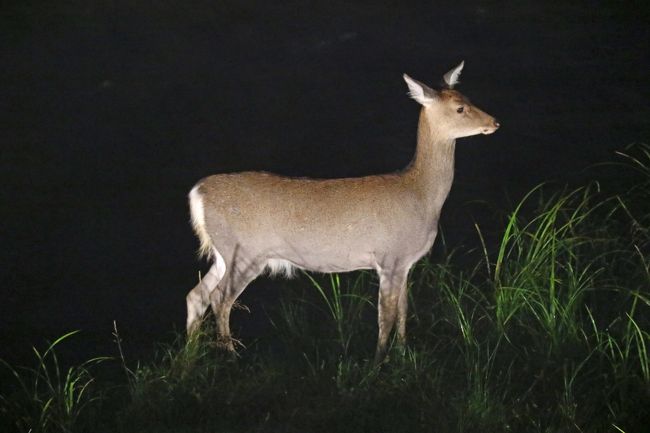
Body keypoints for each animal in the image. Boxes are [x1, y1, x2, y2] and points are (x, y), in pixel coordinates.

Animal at [185, 60, 498, 362]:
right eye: (460, 108)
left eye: (468, 98)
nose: (494, 122)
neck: (421, 194)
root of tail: (197, 193)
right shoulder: (389, 257)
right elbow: (386, 315)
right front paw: (377, 364)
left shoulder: (405, 263)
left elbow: (403, 310)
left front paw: (402, 353)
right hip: (246, 251)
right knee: (220, 298)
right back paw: (231, 356)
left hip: (224, 253)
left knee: (197, 295)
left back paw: (190, 356)